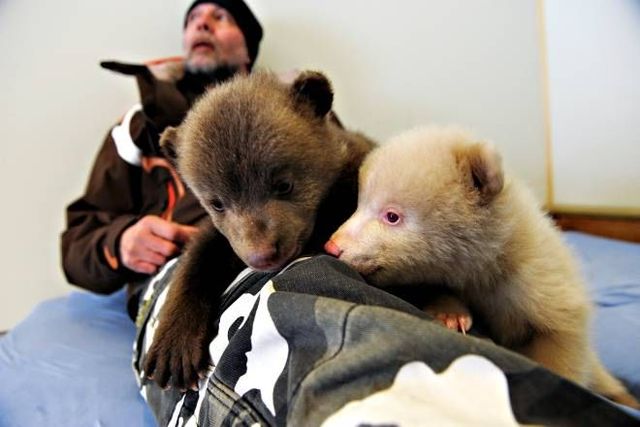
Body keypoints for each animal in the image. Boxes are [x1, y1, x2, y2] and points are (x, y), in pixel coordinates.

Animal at [142, 70, 375, 391]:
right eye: (216, 203)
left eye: (284, 184)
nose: (261, 254)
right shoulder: (223, 234)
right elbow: (198, 258)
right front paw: (173, 346)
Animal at [324, 126, 639, 408]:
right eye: (358, 204)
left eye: (392, 216)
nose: (332, 246)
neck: (487, 266)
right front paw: (450, 314)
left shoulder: (540, 282)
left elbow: (561, 341)